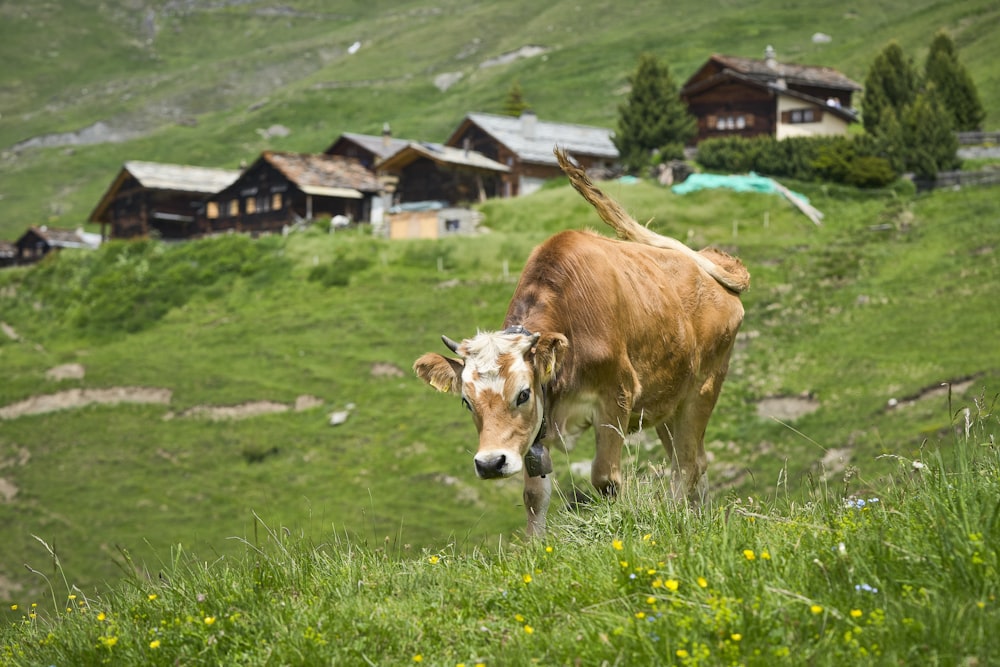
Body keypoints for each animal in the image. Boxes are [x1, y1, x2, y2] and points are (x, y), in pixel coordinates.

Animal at [410, 149, 748, 536]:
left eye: (522, 394)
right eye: (467, 402)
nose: (491, 463)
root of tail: (706, 261)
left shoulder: (616, 398)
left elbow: (605, 480)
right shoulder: (538, 427)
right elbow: (534, 495)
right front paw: (535, 545)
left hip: (703, 388)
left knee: (688, 464)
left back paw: (677, 517)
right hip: (668, 402)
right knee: (692, 461)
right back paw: (696, 519)